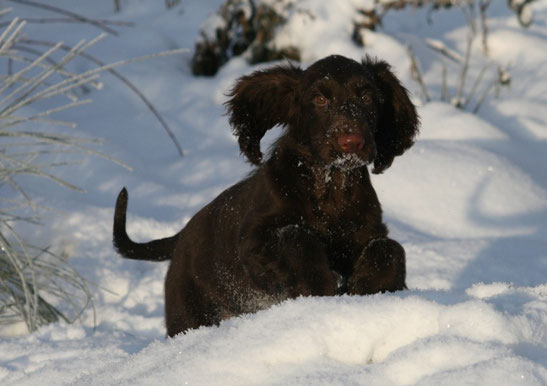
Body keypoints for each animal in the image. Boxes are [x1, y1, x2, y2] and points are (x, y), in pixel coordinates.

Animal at [112, 55, 420, 338]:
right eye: (319, 99)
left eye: (367, 97)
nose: (351, 142)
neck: (331, 186)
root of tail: (181, 237)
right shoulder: (254, 239)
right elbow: (296, 236)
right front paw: (319, 286)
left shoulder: (368, 233)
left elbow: (390, 248)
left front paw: (370, 289)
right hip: (189, 314)